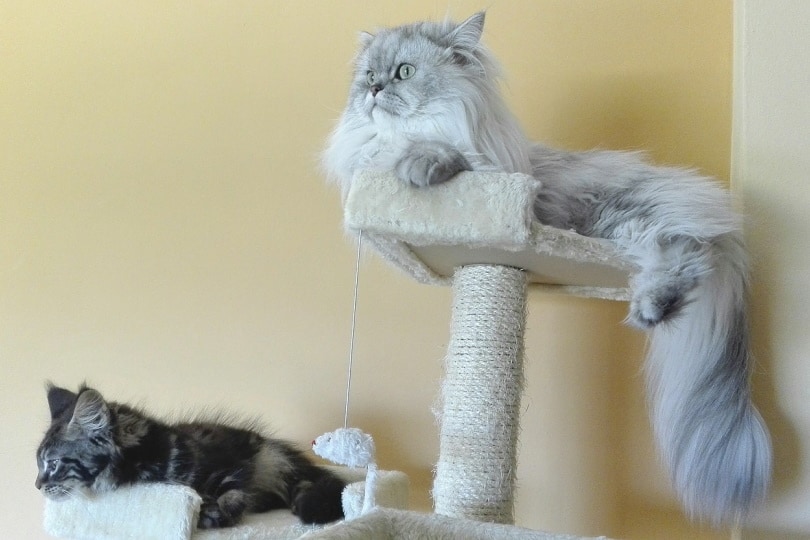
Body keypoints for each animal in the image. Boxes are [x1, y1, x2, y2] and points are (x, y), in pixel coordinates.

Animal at [35, 384, 344, 528]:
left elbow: (232, 493)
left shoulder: (231, 465)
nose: (37, 485)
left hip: (270, 461)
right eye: (38, 464)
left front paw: (217, 515)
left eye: (53, 463)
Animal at [322, 11, 772, 524]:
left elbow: (443, 155)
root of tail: (717, 209)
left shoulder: (488, 173)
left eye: (404, 72)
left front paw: (420, 164)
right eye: (368, 76)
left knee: (686, 253)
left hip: (627, 221)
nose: (374, 90)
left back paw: (653, 306)